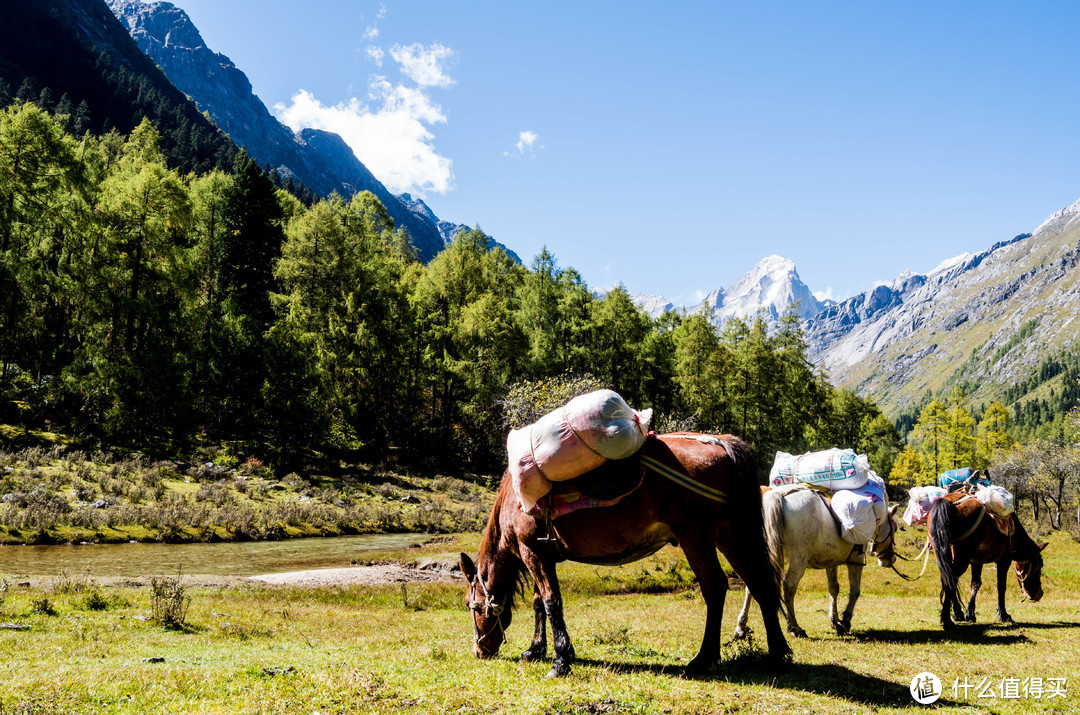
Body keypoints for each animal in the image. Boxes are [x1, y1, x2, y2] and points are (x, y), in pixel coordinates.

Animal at [460, 434, 790, 682]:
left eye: (469, 604)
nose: (479, 651)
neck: (513, 501)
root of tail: (720, 443)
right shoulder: (544, 556)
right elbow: (539, 603)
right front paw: (535, 650)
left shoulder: (533, 552)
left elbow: (552, 603)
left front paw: (561, 660)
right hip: (731, 535)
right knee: (759, 584)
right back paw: (777, 653)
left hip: (696, 537)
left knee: (715, 587)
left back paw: (703, 658)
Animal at [734, 483, 902, 639]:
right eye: (894, 527)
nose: (891, 558)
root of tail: (778, 495)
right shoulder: (856, 560)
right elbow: (855, 590)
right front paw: (845, 621)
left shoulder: (831, 561)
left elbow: (833, 588)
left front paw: (835, 621)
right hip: (799, 559)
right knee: (789, 586)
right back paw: (795, 627)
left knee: (752, 585)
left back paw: (741, 627)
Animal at [928, 492, 1045, 635]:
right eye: (1040, 565)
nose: (1038, 594)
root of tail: (948, 503)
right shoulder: (1004, 560)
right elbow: (1001, 586)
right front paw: (1003, 614)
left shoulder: (976, 561)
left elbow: (975, 584)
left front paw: (969, 613)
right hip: (962, 559)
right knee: (951, 580)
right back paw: (947, 621)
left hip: (943, 554)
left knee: (948, 579)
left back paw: (955, 614)